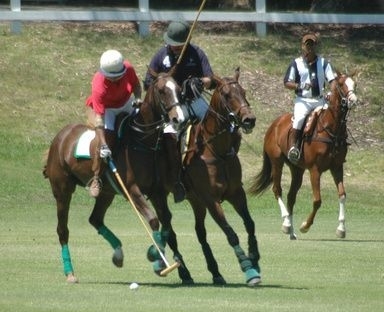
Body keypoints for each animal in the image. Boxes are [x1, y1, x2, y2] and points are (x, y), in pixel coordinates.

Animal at [42, 72, 185, 282]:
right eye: (161, 91)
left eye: (179, 89)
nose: (178, 119)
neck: (143, 140)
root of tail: (60, 136)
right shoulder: (132, 190)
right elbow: (153, 220)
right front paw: (156, 258)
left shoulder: (157, 192)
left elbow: (166, 220)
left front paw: (160, 259)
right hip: (62, 190)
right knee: (63, 229)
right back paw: (70, 273)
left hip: (107, 193)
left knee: (95, 219)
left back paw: (118, 254)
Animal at [182, 69, 260, 288]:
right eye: (226, 95)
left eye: (244, 91)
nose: (249, 119)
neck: (217, 151)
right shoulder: (211, 199)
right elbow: (231, 233)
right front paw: (249, 269)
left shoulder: (236, 193)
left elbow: (250, 223)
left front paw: (254, 258)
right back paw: (184, 272)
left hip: (196, 201)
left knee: (200, 232)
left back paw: (215, 272)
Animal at [250, 72, 358, 240]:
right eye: (341, 85)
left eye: (354, 84)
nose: (353, 100)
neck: (331, 130)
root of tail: (274, 124)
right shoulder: (315, 169)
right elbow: (317, 200)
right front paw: (305, 226)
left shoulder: (337, 167)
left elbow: (342, 195)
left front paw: (341, 228)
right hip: (276, 161)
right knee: (277, 190)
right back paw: (286, 224)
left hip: (297, 169)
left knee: (291, 196)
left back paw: (291, 231)